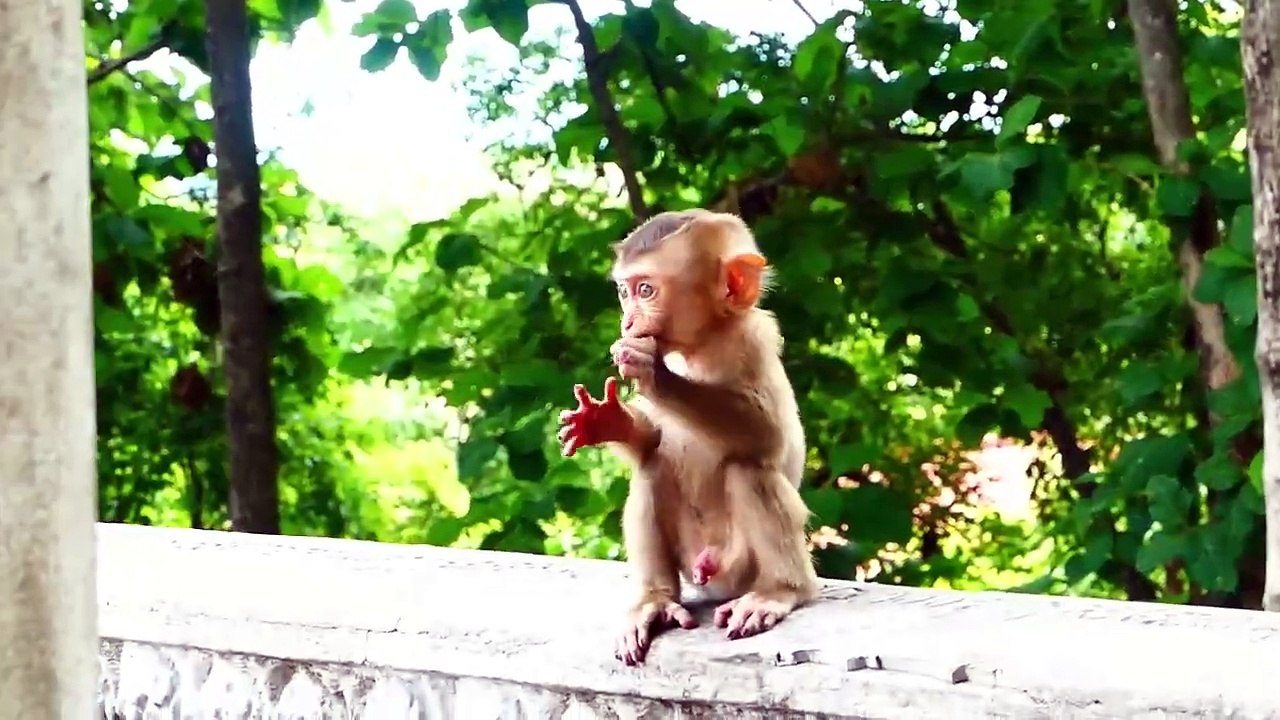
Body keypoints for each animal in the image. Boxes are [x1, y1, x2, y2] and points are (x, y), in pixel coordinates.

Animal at [558, 209, 819, 665]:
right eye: (625, 293)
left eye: (646, 290)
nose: (627, 321)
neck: (701, 346)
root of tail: (711, 570)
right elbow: (651, 440)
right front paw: (605, 419)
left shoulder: (755, 340)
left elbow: (770, 437)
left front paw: (653, 372)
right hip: (690, 559)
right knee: (653, 468)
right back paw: (655, 600)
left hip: (740, 566)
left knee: (749, 469)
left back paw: (779, 591)